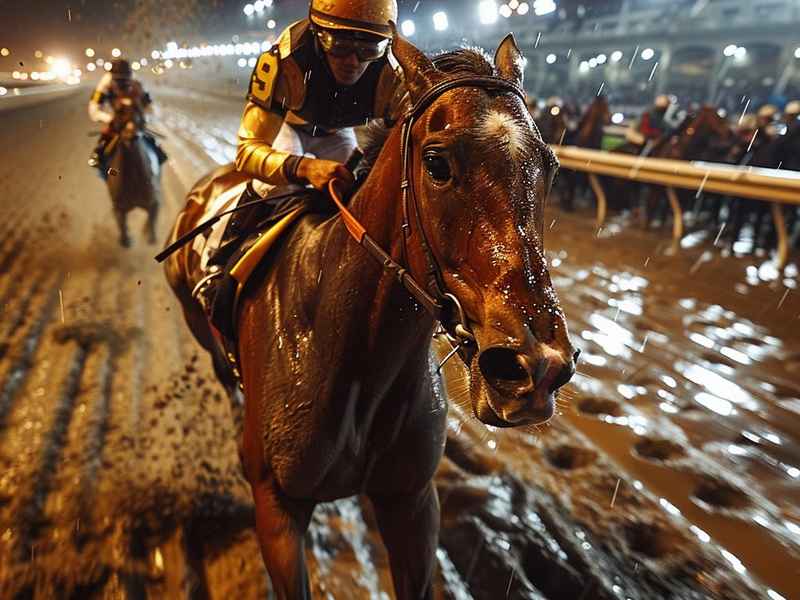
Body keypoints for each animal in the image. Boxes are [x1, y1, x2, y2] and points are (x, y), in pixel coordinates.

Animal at [105, 101, 161, 247]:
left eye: (140, 111)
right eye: (118, 111)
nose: (131, 135)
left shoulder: (154, 202)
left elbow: (152, 220)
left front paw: (150, 236)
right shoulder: (119, 207)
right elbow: (122, 225)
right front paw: (125, 240)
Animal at [164, 31, 577, 599]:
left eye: (550, 166)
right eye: (437, 162)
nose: (537, 365)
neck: (354, 353)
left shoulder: (412, 500)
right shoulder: (276, 510)